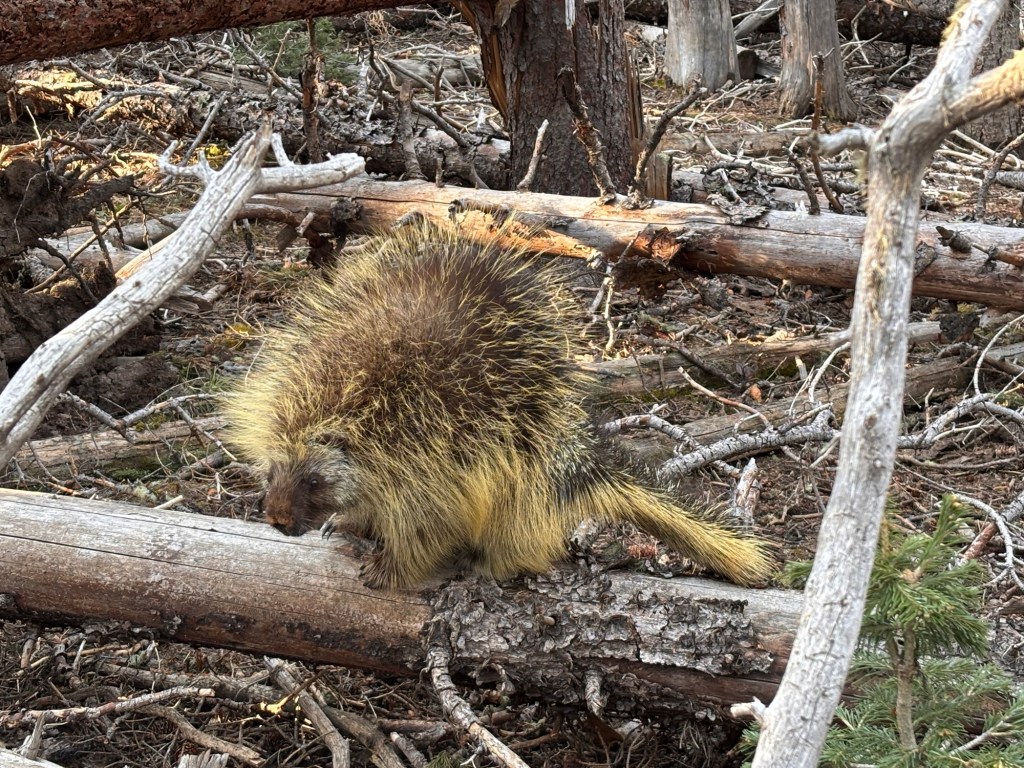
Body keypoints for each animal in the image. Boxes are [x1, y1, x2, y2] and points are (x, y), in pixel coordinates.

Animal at [222, 219, 773, 589]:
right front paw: (348, 523)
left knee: (520, 525)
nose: (278, 520)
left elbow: (428, 527)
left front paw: (386, 569)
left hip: (528, 464)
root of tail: (577, 460)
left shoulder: (434, 463)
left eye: (315, 481)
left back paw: (484, 562)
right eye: (273, 470)